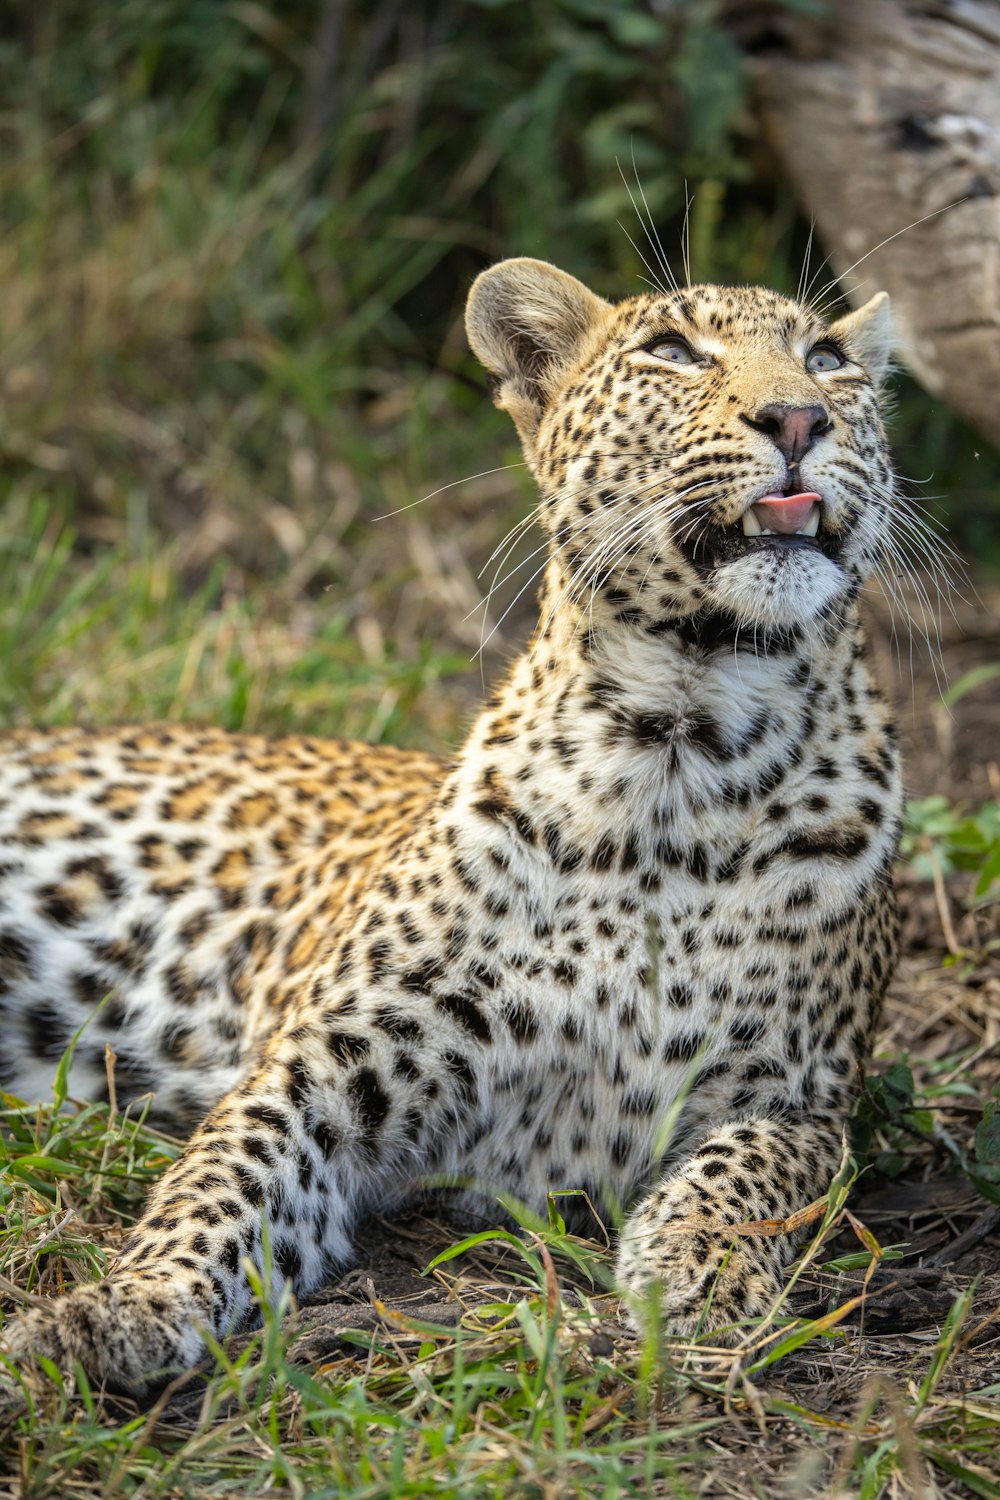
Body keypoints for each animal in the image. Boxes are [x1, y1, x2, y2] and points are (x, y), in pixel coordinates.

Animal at [0, 255, 905, 1392]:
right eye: (672, 352)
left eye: (826, 359)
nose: (797, 417)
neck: (680, 746)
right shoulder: (326, 1060)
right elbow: (220, 1177)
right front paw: (121, 1305)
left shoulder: (803, 1097)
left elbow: (753, 1169)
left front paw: (696, 1267)